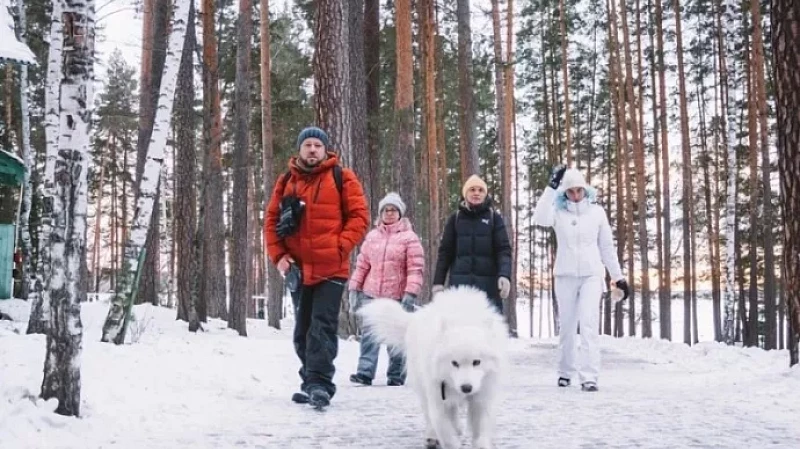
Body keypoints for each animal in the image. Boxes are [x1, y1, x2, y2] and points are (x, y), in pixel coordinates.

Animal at [360, 286, 510, 446]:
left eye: (477, 362)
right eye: (454, 363)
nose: (466, 388)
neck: (463, 320)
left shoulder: (483, 397)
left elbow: (481, 430)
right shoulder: (438, 396)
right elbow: (445, 431)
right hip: (423, 387)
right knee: (429, 414)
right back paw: (432, 436)